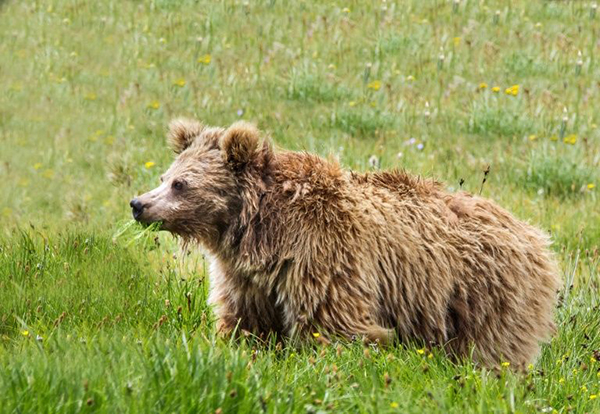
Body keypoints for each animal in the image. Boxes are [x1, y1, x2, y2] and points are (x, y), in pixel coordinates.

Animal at [131, 118, 564, 368]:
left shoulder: (322, 252)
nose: (139, 204)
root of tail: (535, 235)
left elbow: (335, 322)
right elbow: (245, 320)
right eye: (165, 175)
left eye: (180, 183)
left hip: (487, 292)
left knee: (492, 349)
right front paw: (233, 346)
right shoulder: (246, 275)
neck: (259, 229)